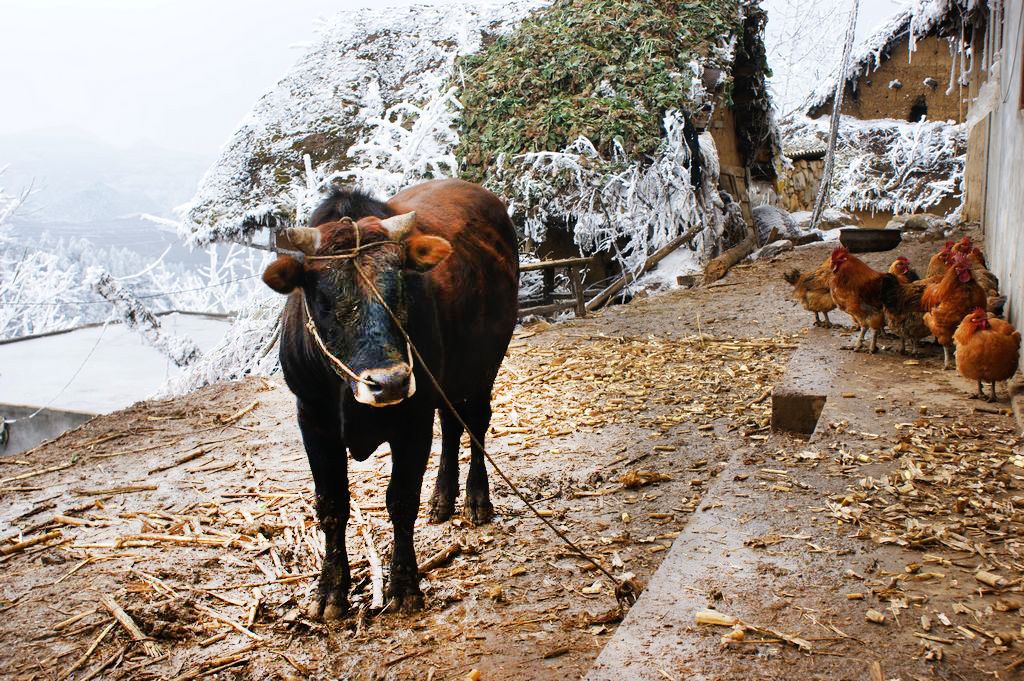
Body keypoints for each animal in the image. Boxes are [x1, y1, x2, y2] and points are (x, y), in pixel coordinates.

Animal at [264, 178, 520, 614]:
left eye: (400, 286)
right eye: (323, 298)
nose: (390, 382)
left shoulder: (412, 419)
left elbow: (401, 501)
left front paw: (404, 584)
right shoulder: (313, 421)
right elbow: (332, 505)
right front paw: (330, 591)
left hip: (484, 365)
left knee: (475, 425)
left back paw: (476, 499)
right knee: (451, 427)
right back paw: (443, 498)